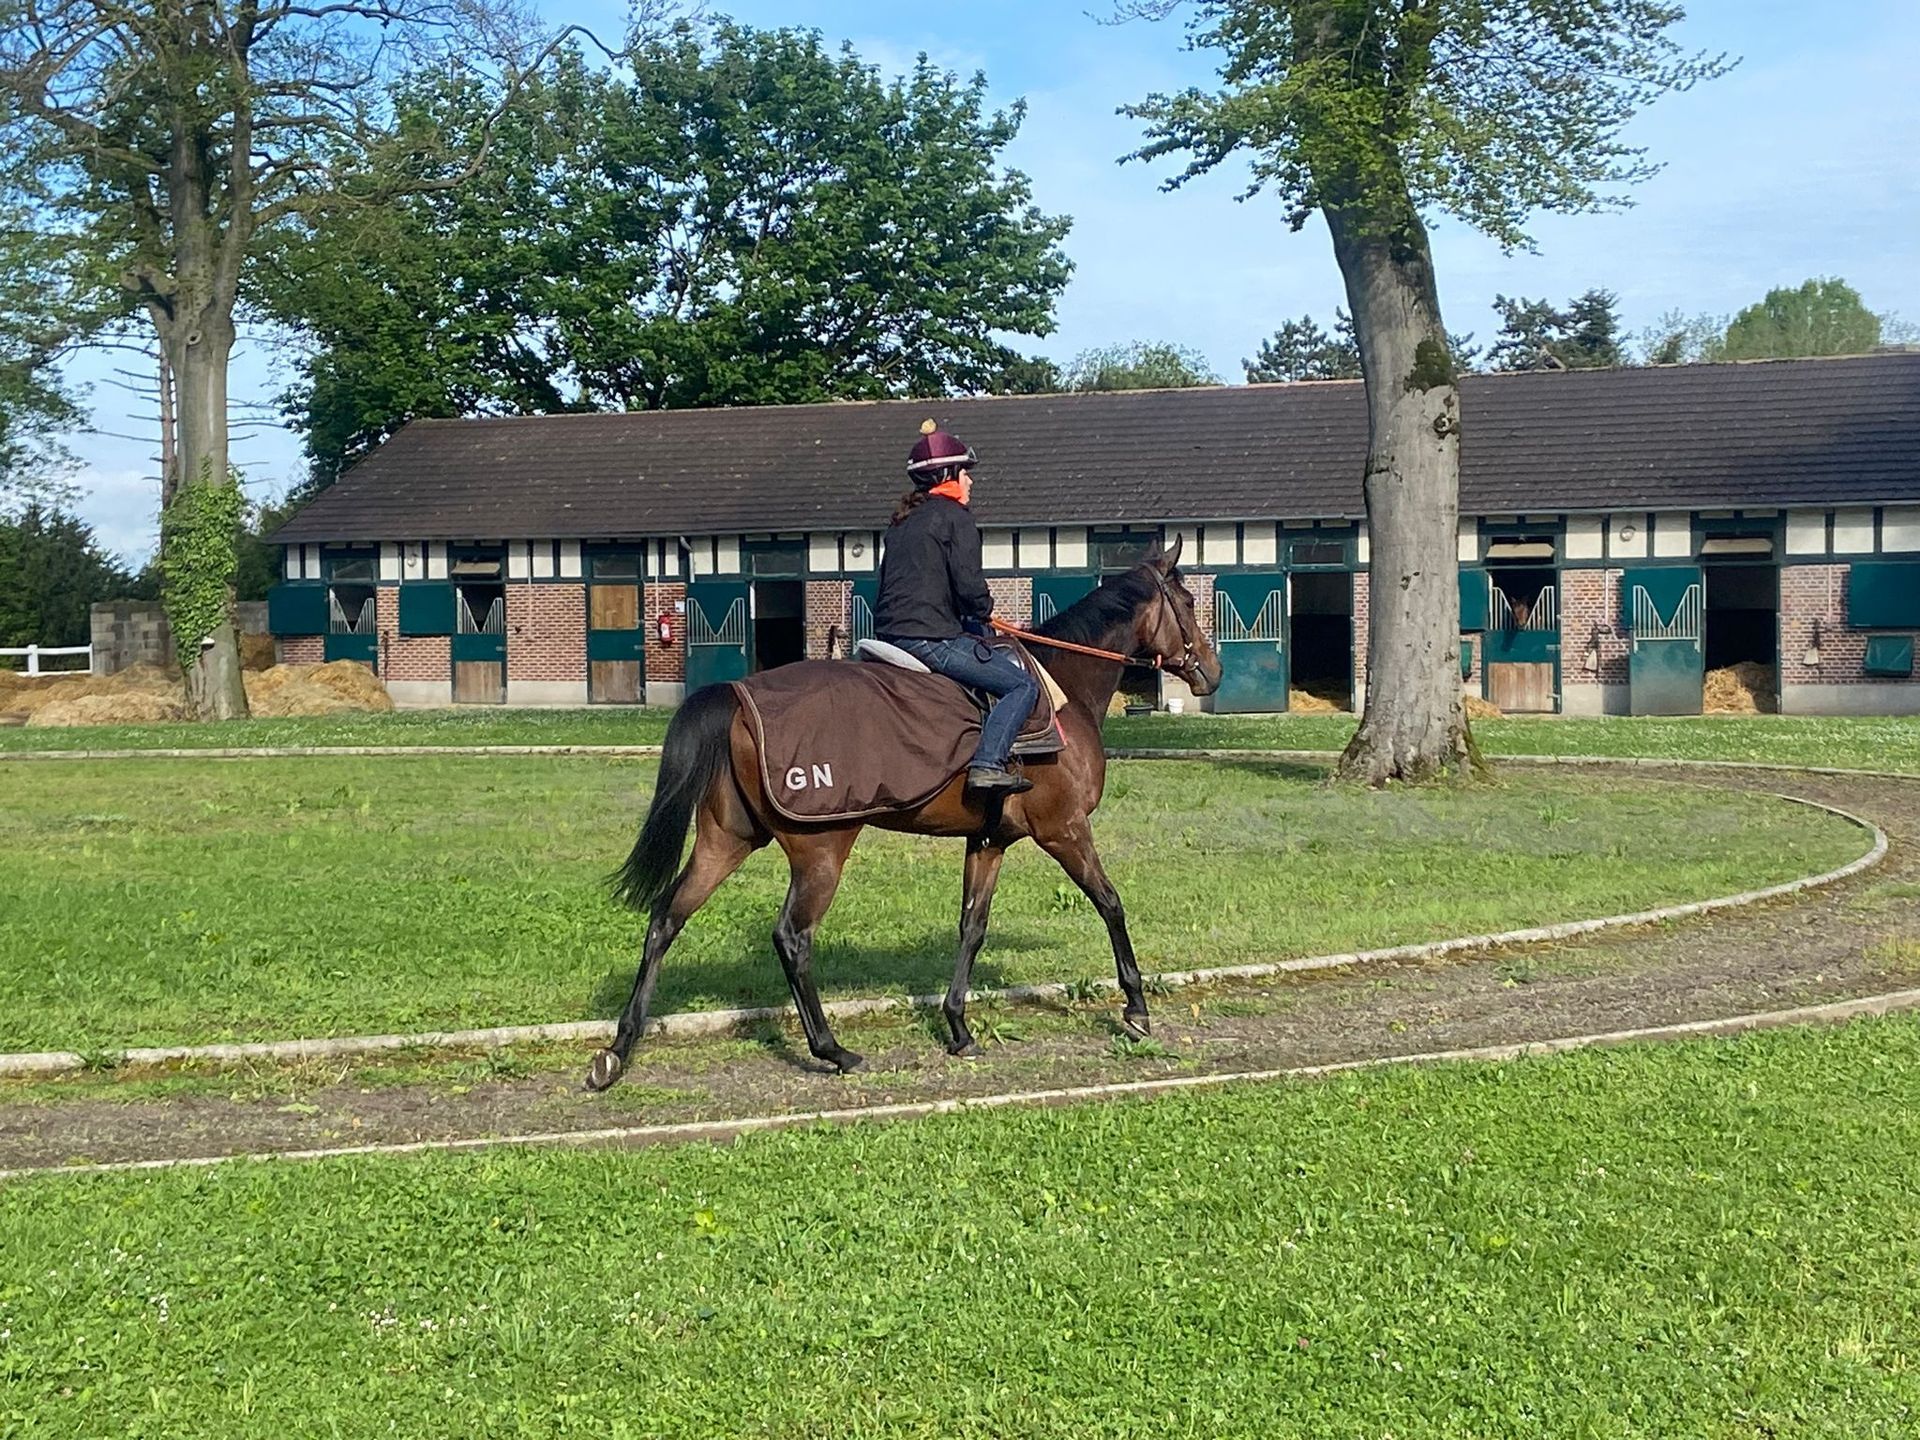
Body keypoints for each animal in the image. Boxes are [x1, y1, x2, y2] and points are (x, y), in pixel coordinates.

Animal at [585, 537, 1223, 1092]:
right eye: (1190, 603)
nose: (1212, 674)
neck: (1059, 686)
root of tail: (738, 697)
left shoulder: (989, 841)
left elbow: (972, 927)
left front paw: (959, 1026)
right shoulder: (1064, 830)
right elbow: (1110, 903)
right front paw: (1136, 1008)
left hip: (727, 841)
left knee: (666, 918)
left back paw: (618, 1050)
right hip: (821, 851)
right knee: (792, 937)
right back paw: (832, 1049)